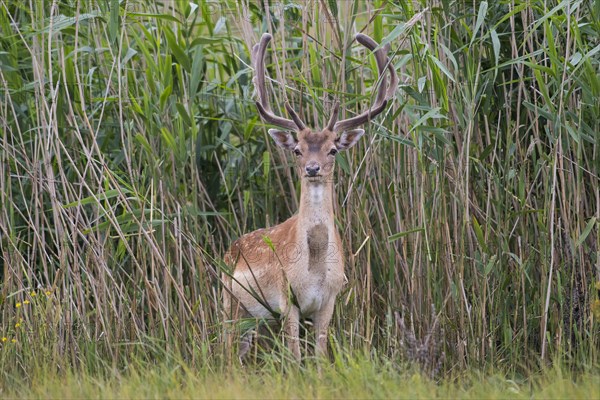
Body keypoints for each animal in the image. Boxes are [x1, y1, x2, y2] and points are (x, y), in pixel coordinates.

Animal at [223, 32, 396, 360]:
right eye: (297, 149)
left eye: (333, 149)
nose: (313, 168)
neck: (314, 268)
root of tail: (229, 249)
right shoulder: (287, 298)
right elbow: (294, 355)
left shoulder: (329, 300)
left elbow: (319, 355)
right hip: (231, 303)